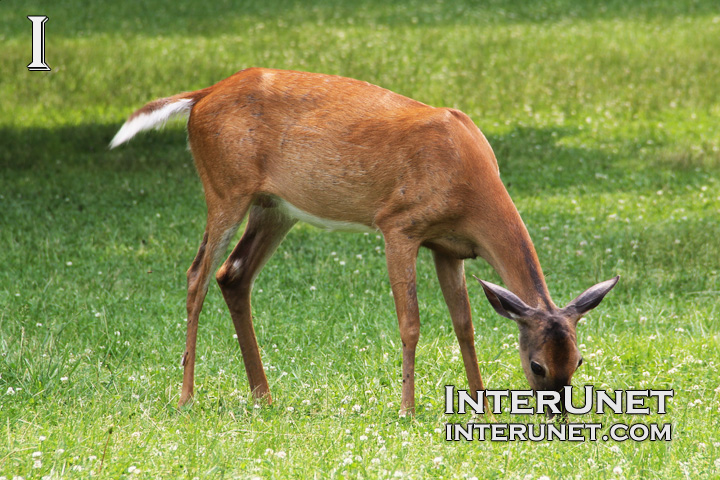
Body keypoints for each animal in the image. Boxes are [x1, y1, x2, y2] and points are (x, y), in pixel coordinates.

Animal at [110, 68, 619, 416]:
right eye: (537, 366)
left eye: (577, 361)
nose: (557, 415)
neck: (470, 187)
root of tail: (200, 96)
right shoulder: (399, 225)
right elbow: (411, 323)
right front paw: (407, 409)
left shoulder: (448, 247)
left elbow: (465, 325)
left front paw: (480, 404)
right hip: (225, 189)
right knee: (196, 274)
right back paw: (186, 396)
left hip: (274, 207)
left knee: (232, 274)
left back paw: (263, 395)